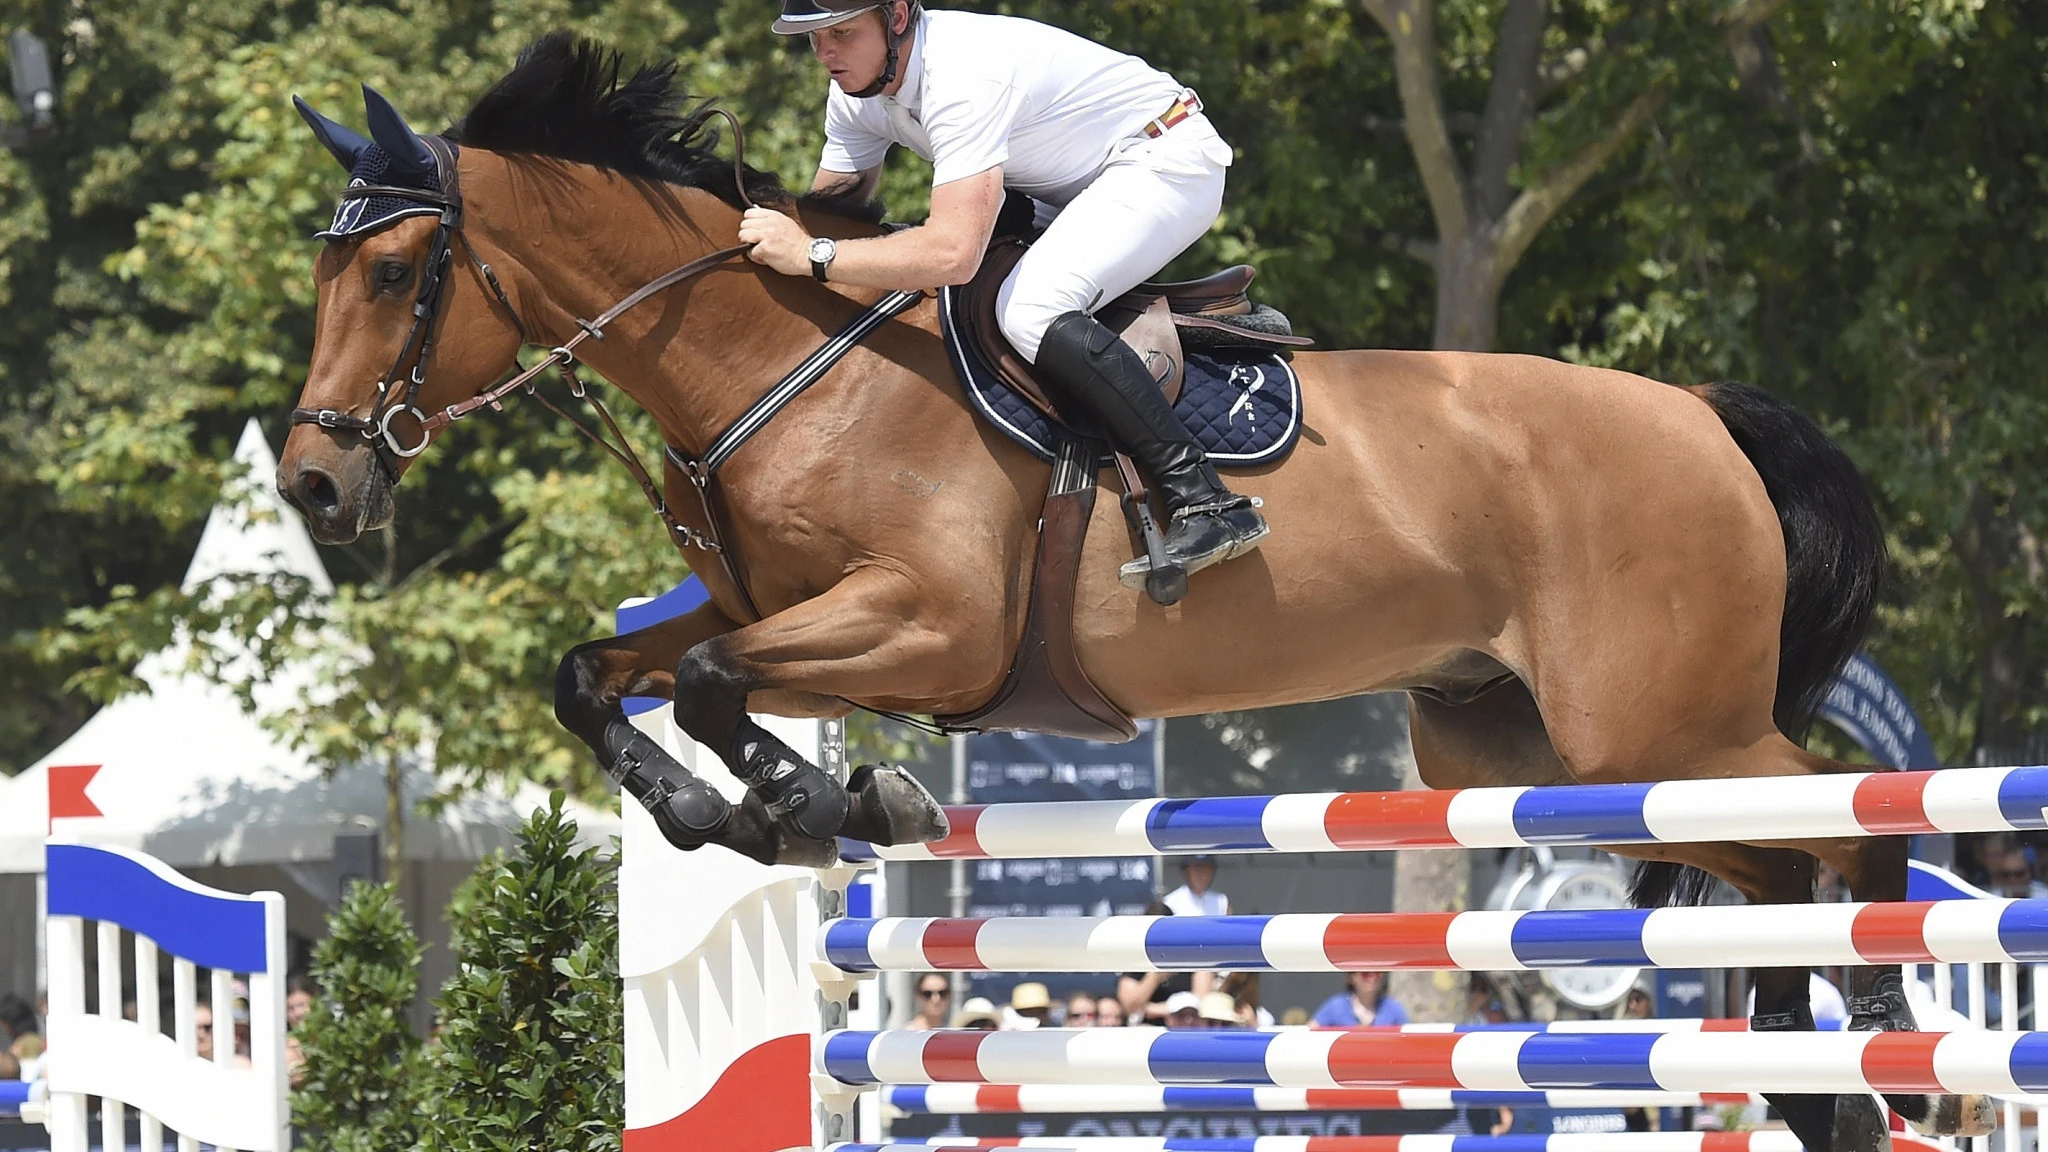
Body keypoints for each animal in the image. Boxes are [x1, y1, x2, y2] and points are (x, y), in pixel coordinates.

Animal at [280, 35, 1974, 1147]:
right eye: (322, 271)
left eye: (396, 275)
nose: (314, 488)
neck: (781, 362)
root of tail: (1701, 413)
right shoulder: (770, 612)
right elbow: (604, 672)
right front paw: (736, 812)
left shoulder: (929, 627)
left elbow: (706, 684)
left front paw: (827, 806)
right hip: (1520, 745)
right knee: (1775, 863)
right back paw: (1816, 1073)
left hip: (1654, 729)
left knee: (1847, 823)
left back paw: (1891, 1042)